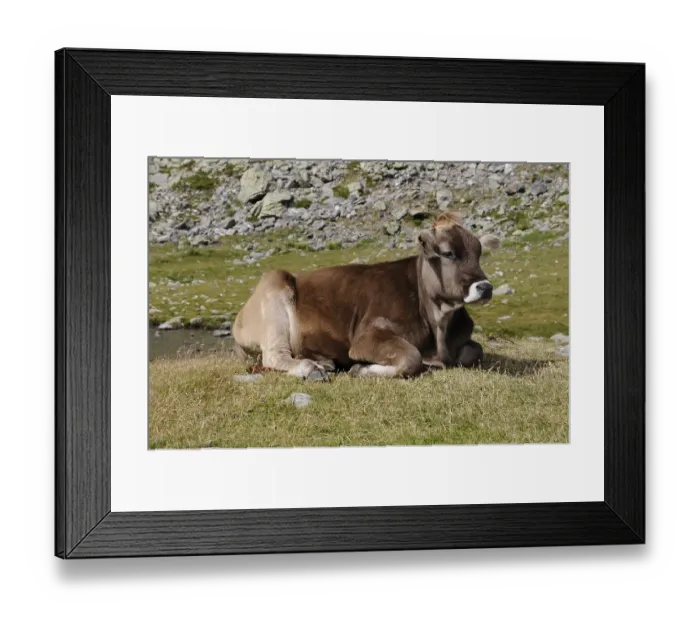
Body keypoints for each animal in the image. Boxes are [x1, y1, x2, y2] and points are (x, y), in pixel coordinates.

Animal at [233, 212, 501, 380]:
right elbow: (411, 358)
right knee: (274, 356)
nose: (485, 287)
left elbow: (475, 351)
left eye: (479, 253)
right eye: (447, 253)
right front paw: (360, 369)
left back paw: (325, 362)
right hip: (274, 286)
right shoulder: (368, 337)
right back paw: (311, 368)